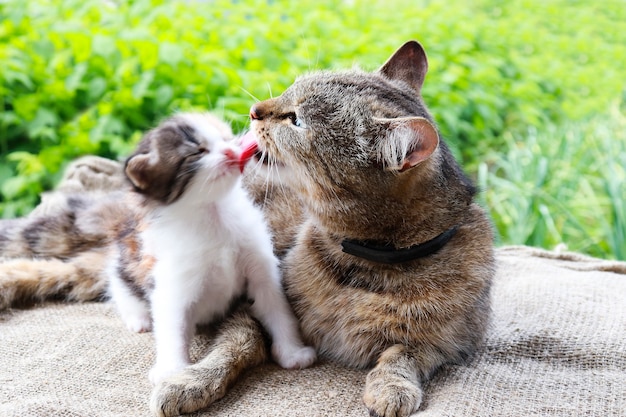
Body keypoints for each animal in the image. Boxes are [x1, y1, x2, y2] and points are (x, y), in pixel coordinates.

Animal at [150, 39, 492, 416]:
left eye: (296, 120)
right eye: (287, 90)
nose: (254, 110)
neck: (369, 264)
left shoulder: (452, 342)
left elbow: (405, 353)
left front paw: (392, 385)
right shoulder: (249, 305)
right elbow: (237, 343)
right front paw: (191, 381)